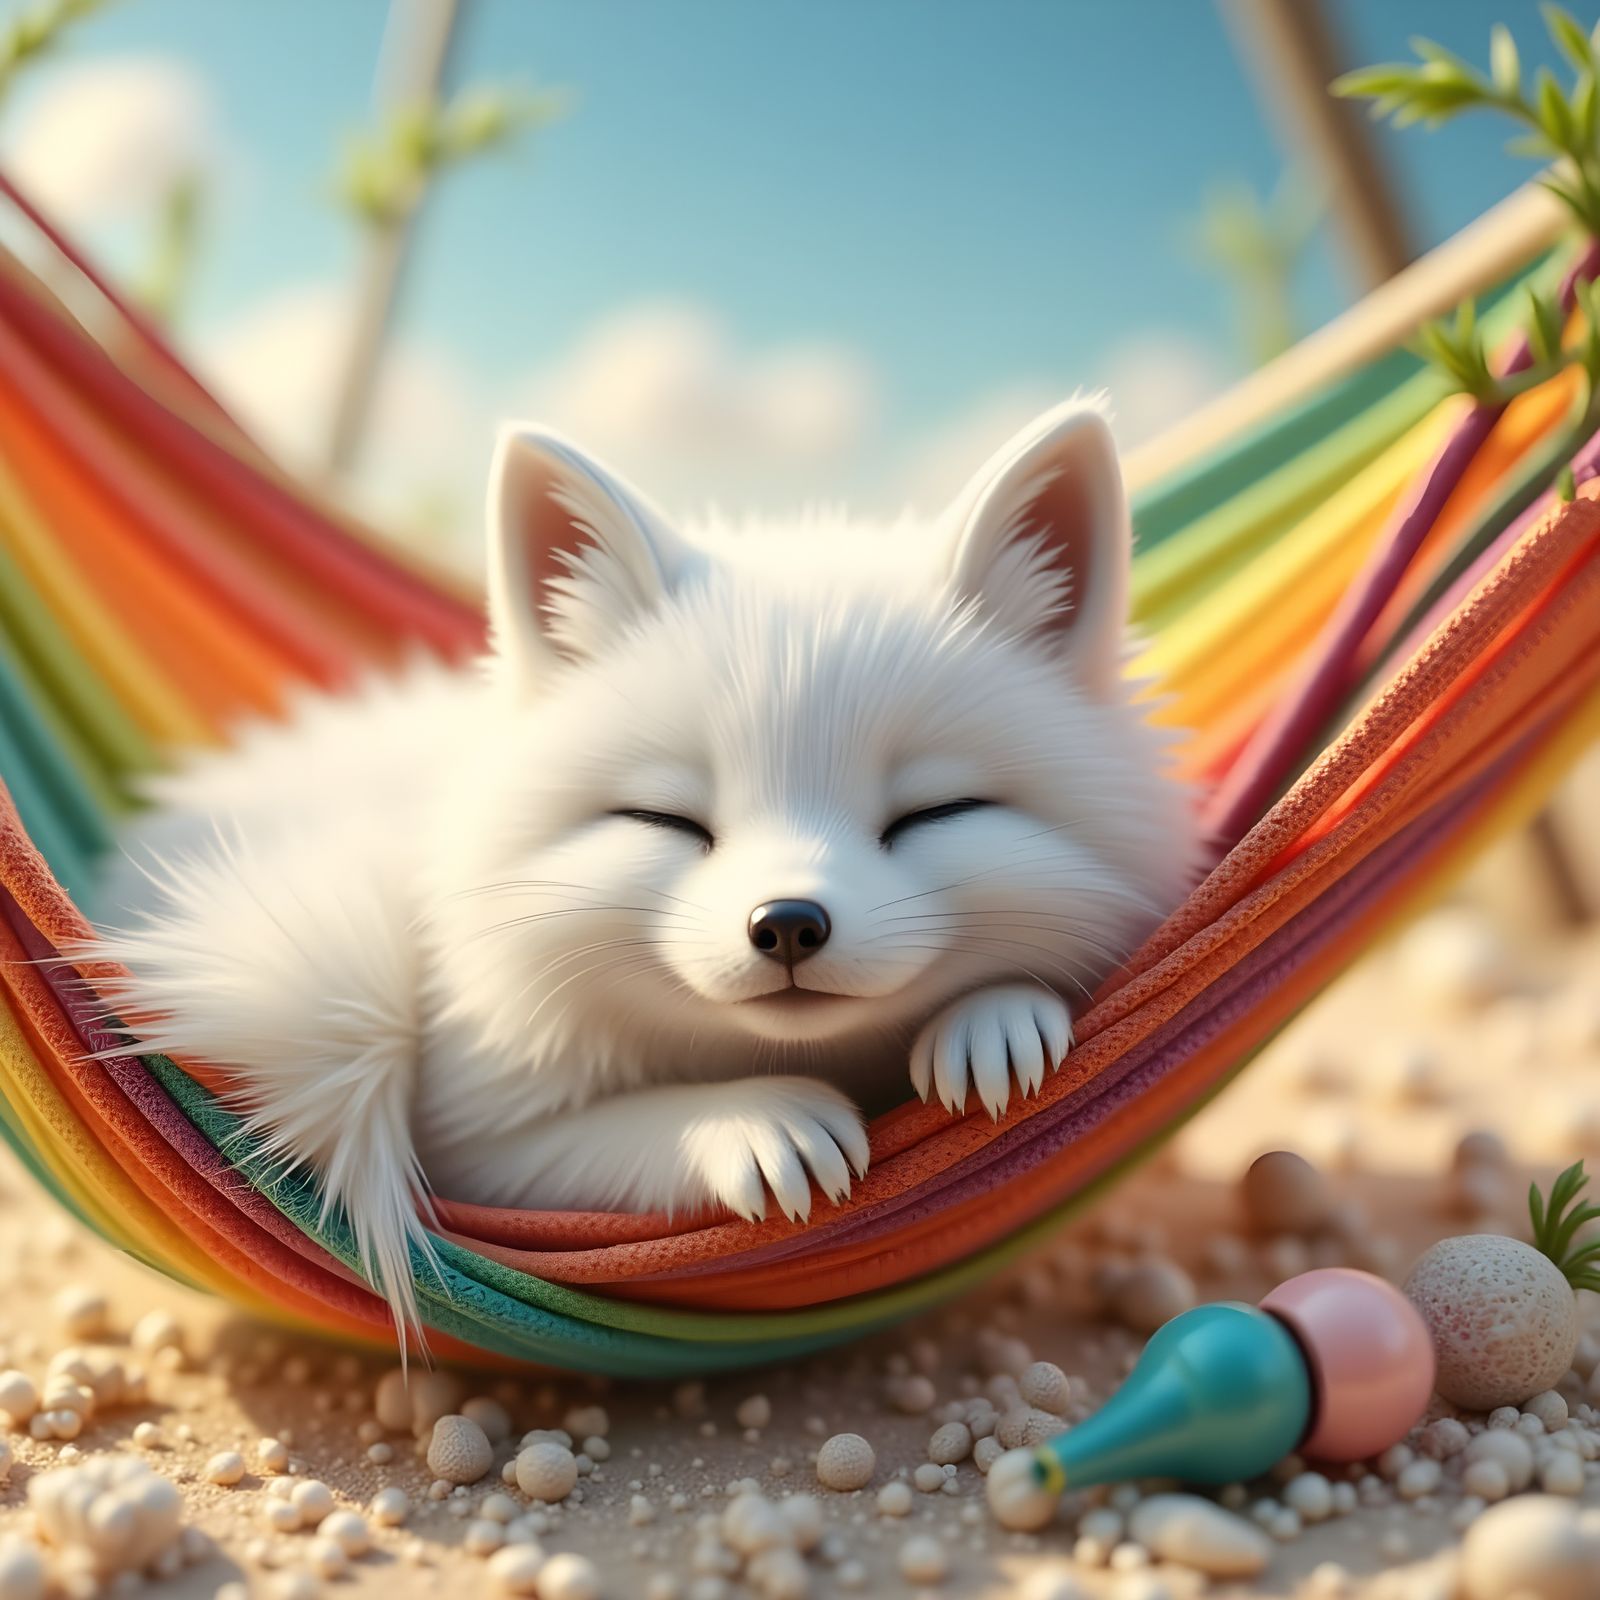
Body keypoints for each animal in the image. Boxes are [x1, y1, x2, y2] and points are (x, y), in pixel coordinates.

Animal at [91, 396, 1199, 1332]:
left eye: (935, 813)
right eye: (667, 819)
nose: (787, 923)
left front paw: (996, 1016)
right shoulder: (472, 1149)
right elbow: (621, 1135)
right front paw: (749, 1119)